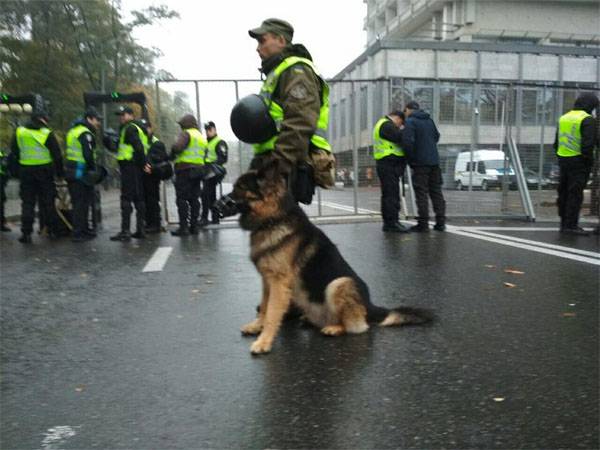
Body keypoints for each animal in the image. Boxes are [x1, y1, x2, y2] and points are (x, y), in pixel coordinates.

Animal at [229, 162, 432, 356]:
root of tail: (371, 307)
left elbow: (272, 313)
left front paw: (263, 342)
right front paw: (257, 326)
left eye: (240, 187)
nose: (222, 201)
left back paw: (334, 328)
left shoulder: (279, 283)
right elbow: (265, 306)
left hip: (340, 283)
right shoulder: (267, 280)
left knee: (359, 327)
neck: (273, 219)